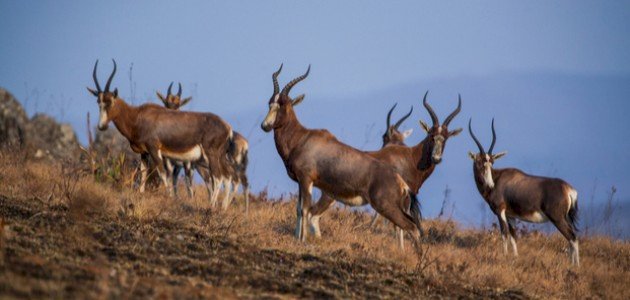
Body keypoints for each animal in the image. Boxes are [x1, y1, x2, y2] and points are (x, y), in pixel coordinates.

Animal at [87, 58, 233, 204]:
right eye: (98, 101)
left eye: (110, 101)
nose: (102, 126)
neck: (138, 116)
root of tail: (228, 127)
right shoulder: (144, 153)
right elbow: (143, 172)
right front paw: (141, 194)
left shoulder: (154, 149)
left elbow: (163, 174)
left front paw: (169, 198)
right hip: (218, 158)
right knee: (227, 176)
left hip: (210, 156)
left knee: (218, 177)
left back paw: (211, 205)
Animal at [262, 63, 424, 248]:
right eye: (270, 103)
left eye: (283, 105)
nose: (265, 125)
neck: (303, 137)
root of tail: (401, 182)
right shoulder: (300, 182)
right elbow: (298, 209)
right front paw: (297, 238)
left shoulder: (306, 179)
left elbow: (305, 209)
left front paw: (303, 240)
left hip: (385, 206)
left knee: (412, 227)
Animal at [470, 118, 584, 266]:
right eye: (479, 161)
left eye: (491, 162)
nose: (490, 184)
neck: (498, 178)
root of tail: (568, 189)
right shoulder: (510, 215)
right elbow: (513, 236)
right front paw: (515, 258)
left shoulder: (500, 211)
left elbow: (504, 233)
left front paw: (504, 256)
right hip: (564, 217)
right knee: (571, 237)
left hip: (557, 218)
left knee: (572, 237)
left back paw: (576, 266)